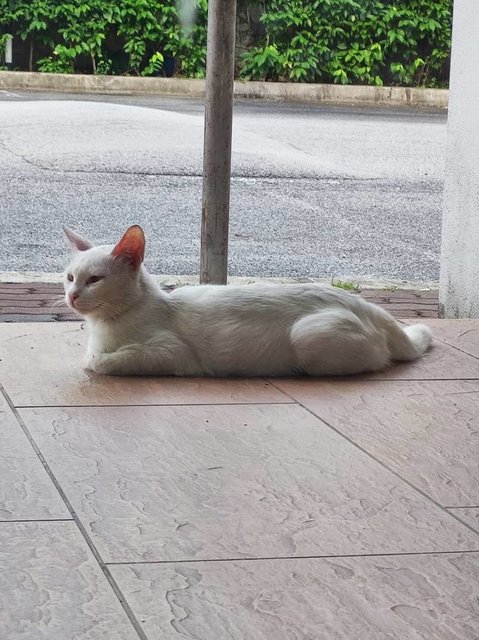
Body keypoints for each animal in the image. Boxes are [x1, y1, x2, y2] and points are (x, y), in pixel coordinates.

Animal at [62, 224, 434, 376]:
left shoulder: (172, 353)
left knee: (376, 362)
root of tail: (370, 307)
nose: (72, 295)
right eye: (69, 277)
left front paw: (97, 360)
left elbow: (99, 362)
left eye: (94, 280)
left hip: (310, 335)